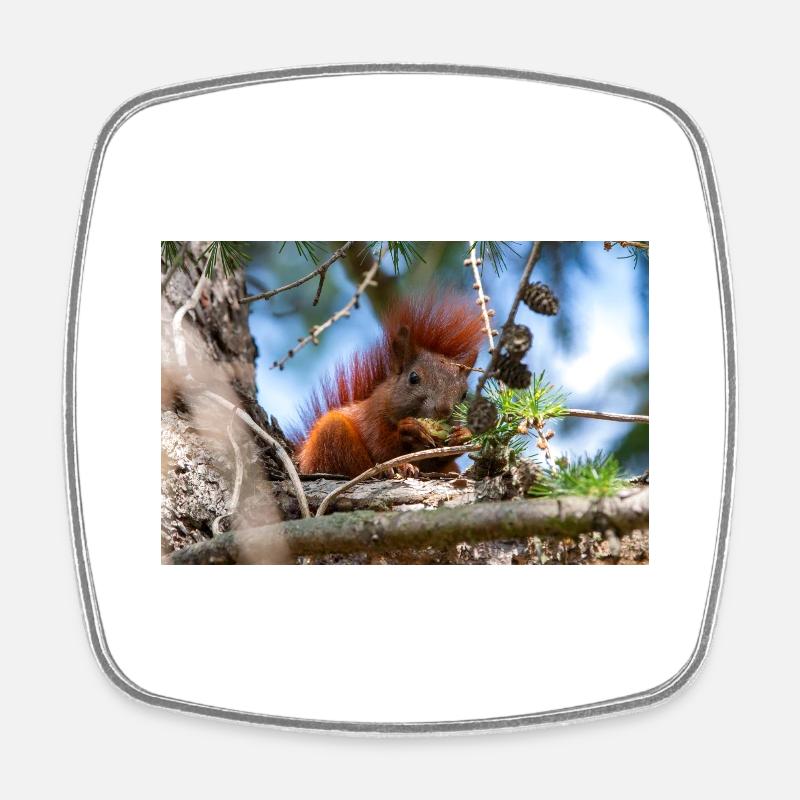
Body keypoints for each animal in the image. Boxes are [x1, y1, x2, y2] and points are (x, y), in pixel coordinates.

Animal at [294, 293, 485, 478]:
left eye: (464, 394)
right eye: (413, 378)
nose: (444, 410)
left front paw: (464, 435)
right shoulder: (372, 417)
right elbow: (381, 446)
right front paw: (409, 430)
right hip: (331, 437)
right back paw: (395, 469)